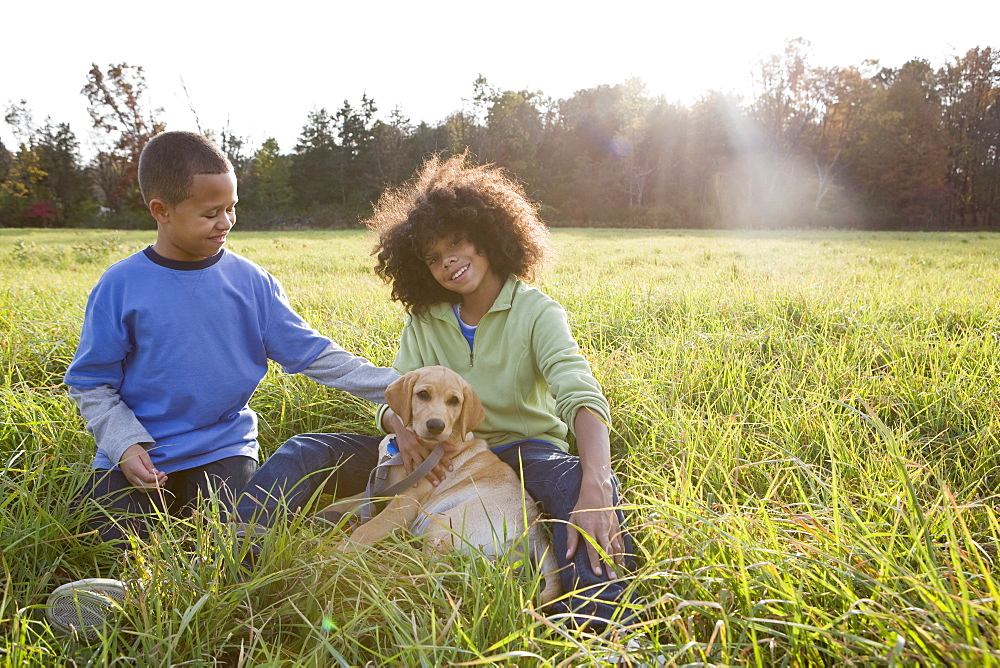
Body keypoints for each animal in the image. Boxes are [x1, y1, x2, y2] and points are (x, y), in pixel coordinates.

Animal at [342, 366, 564, 604]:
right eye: (423, 395)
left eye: (454, 401)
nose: (436, 426)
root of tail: (537, 533)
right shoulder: (379, 492)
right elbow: (343, 503)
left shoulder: (403, 505)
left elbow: (367, 530)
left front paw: (337, 553)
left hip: (440, 524)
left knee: (430, 571)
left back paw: (384, 567)